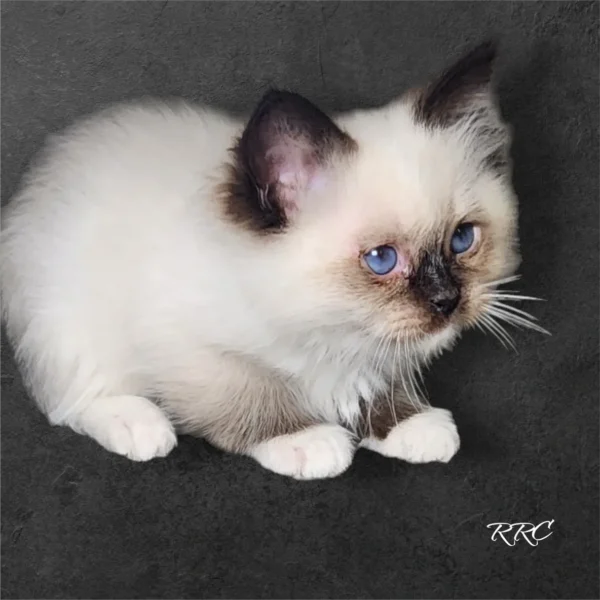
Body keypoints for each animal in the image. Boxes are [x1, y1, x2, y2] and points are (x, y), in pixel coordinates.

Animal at [0, 42, 536, 480]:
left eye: (462, 239)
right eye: (382, 260)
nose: (448, 300)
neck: (328, 333)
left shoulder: (377, 353)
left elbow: (379, 386)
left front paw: (412, 424)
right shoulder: (192, 349)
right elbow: (251, 398)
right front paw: (306, 440)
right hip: (71, 324)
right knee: (71, 400)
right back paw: (141, 427)